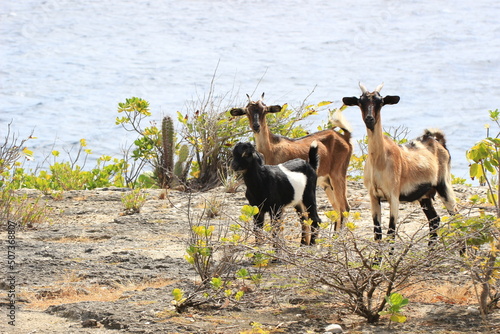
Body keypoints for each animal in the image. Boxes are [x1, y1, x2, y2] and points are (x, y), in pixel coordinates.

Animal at [230, 94, 352, 230]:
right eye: (247, 112)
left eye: (265, 110)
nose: (256, 126)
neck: (271, 148)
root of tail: (345, 137)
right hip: (326, 182)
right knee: (337, 209)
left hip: (337, 175)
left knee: (345, 208)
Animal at [344, 83, 458, 245]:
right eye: (360, 102)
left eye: (380, 102)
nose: (369, 119)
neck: (380, 161)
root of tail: (439, 142)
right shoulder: (373, 195)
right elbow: (377, 234)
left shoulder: (394, 196)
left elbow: (391, 233)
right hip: (425, 196)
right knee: (434, 220)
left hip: (444, 185)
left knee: (456, 217)